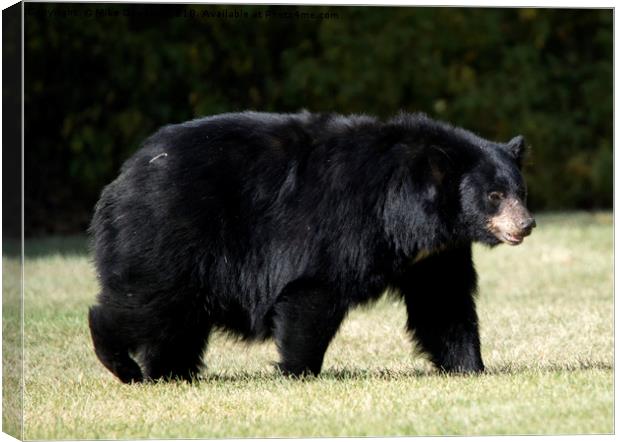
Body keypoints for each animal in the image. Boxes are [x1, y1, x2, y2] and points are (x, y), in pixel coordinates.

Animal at [86, 111, 532, 384]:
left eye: (519, 191)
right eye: (494, 196)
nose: (526, 225)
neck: (411, 213)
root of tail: (123, 177)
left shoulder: (434, 254)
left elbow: (443, 304)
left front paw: (470, 368)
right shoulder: (346, 226)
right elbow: (314, 291)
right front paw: (298, 371)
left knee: (176, 320)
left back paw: (172, 373)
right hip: (171, 234)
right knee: (148, 302)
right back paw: (124, 364)